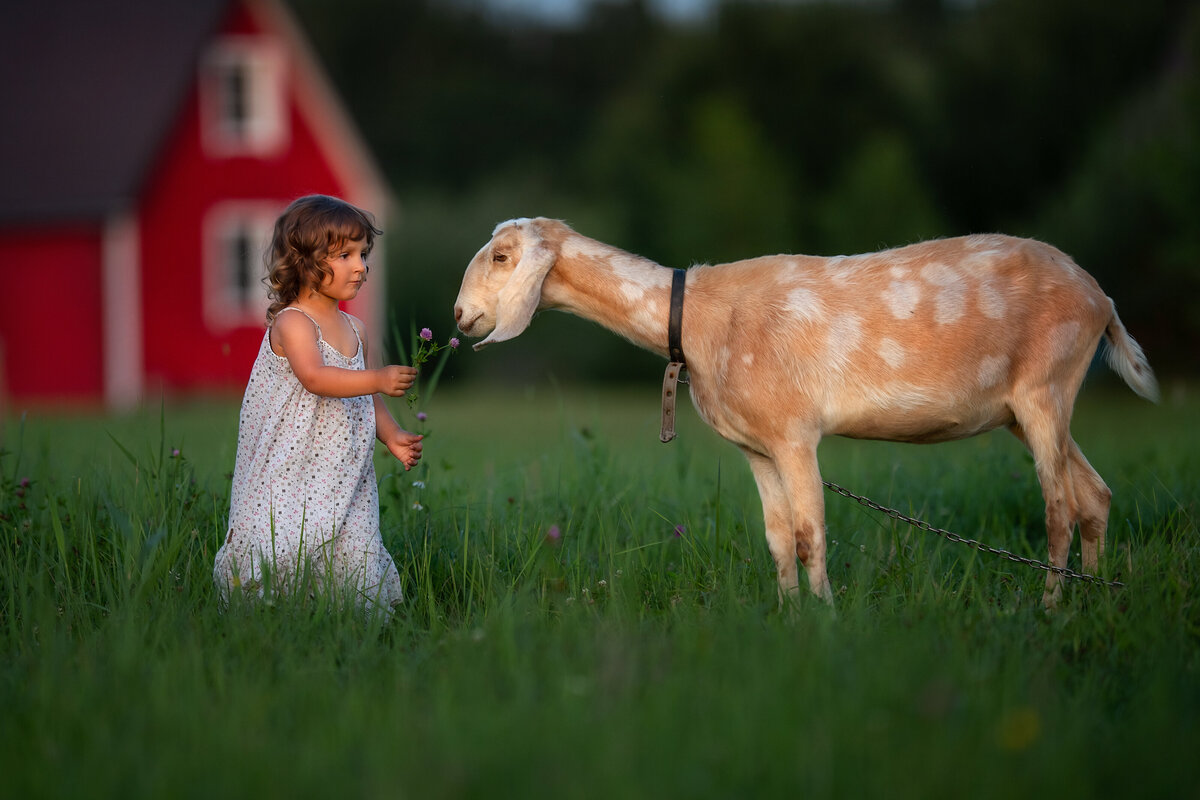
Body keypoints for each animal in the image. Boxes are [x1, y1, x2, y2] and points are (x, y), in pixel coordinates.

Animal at [453, 219, 1156, 606]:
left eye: (502, 255)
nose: (461, 317)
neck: (696, 317)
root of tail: (1102, 300)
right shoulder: (757, 446)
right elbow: (776, 539)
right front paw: (790, 621)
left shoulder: (795, 433)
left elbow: (810, 533)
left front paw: (827, 624)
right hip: (1026, 407)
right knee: (1094, 496)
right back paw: (1092, 602)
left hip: (1045, 386)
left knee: (1058, 509)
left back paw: (1049, 610)